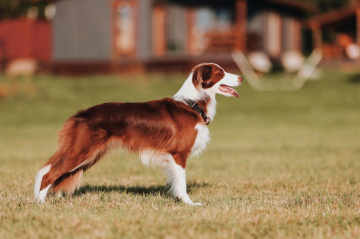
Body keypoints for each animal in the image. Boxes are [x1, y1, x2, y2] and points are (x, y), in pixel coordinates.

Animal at [34, 63, 242, 205]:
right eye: (221, 72)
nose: (240, 77)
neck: (192, 104)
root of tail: (78, 115)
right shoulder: (179, 154)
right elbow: (182, 183)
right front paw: (189, 203)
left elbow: (176, 182)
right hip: (80, 152)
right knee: (48, 175)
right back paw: (41, 203)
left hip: (87, 156)